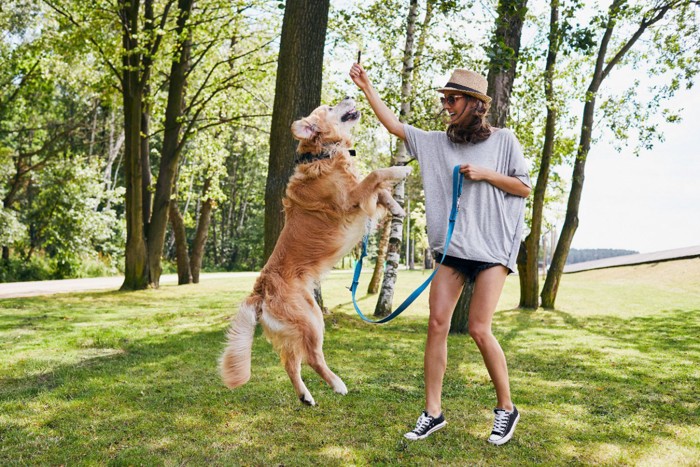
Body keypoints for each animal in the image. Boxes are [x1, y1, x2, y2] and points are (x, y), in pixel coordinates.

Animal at [220, 97, 410, 404]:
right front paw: (401, 171)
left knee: (290, 362)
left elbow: (379, 189)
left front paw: (396, 207)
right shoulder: (350, 198)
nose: (349, 95)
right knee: (311, 358)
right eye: (330, 107)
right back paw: (337, 384)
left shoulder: (359, 193)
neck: (323, 154)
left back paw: (305, 395)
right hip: (312, 319)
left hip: (298, 323)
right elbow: (375, 174)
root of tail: (260, 289)